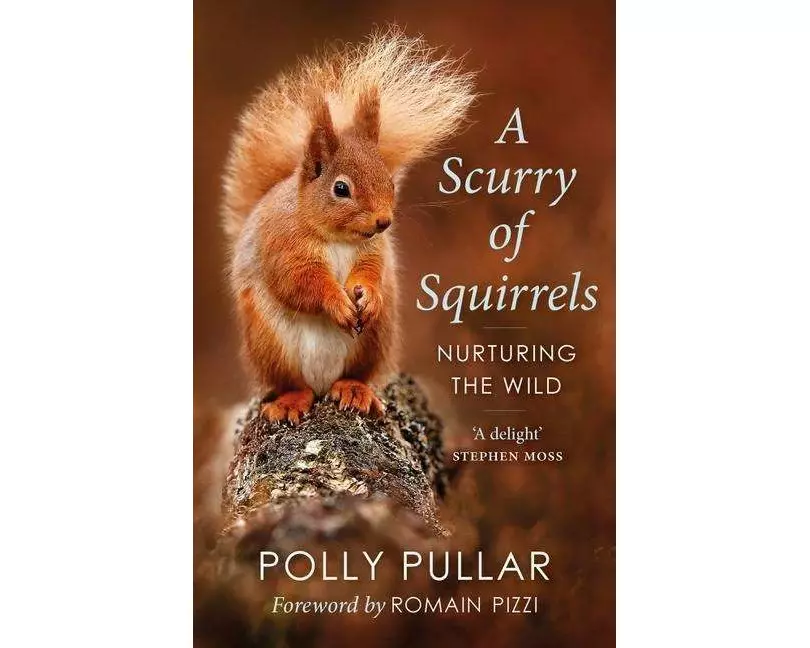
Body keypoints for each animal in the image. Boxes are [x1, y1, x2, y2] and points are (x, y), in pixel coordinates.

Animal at [222, 30, 476, 424]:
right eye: (341, 189)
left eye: (389, 179)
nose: (384, 221)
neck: (337, 238)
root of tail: (322, 384)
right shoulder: (283, 246)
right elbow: (300, 282)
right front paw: (336, 302)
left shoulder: (374, 250)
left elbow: (372, 271)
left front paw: (365, 295)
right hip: (270, 345)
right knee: (294, 384)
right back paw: (291, 401)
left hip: (375, 338)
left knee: (355, 375)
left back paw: (354, 392)